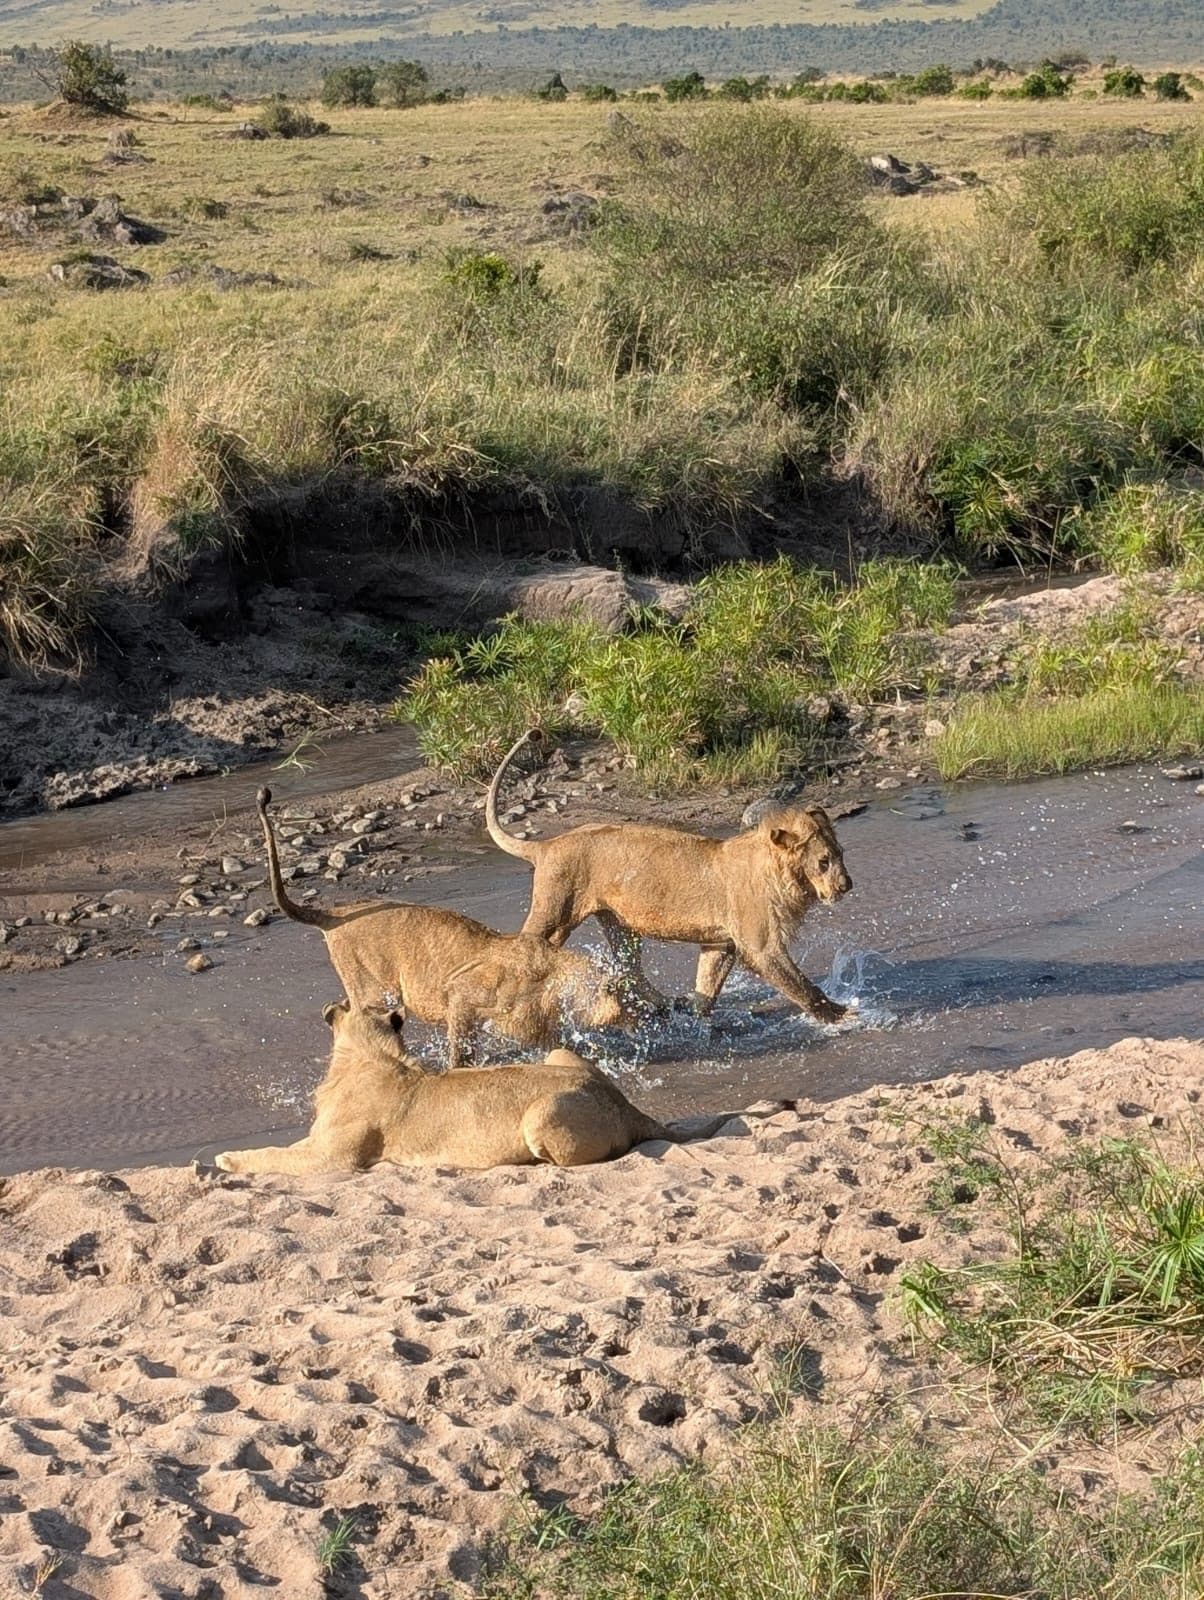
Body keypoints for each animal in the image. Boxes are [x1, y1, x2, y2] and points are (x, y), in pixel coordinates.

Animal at [214, 1001, 671, 1176]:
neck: (369, 1053)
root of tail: (627, 1108)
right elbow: (285, 1149)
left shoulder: (335, 1157)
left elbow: (274, 1156)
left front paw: (227, 1159)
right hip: (558, 1053)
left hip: (542, 1117)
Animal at [256, 786, 630, 1068]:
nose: (638, 1021)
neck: (555, 979)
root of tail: (336, 912)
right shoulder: (460, 994)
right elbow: (461, 1049)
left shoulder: (537, 1029)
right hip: (376, 990)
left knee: (336, 1009)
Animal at [485, 731, 854, 1024]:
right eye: (823, 862)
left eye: (841, 854)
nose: (847, 886)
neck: (782, 876)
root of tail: (547, 845)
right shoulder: (761, 945)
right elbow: (800, 985)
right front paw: (839, 1014)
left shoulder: (721, 943)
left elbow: (707, 984)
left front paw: (694, 1018)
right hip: (554, 912)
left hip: (617, 925)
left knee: (630, 972)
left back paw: (662, 1006)